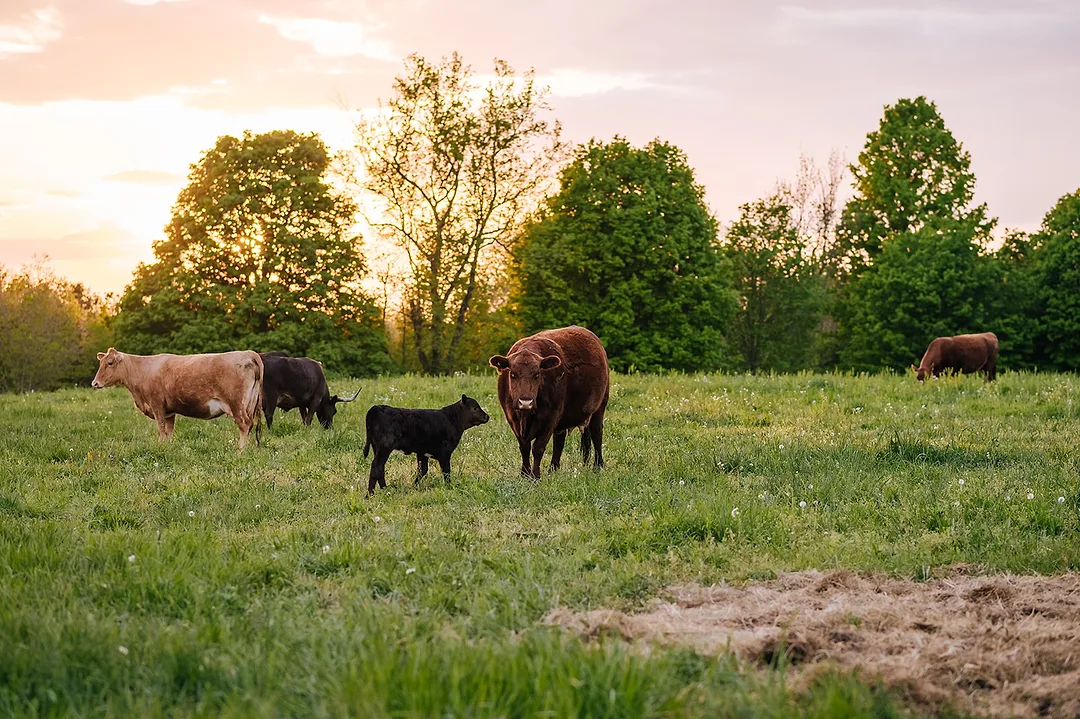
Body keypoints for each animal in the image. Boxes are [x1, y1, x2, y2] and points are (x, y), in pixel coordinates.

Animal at [91, 348, 264, 447]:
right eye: (101, 363)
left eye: (110, 363)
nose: (94, 383)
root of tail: (248, 353)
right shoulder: (169, 411)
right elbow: (169, 431)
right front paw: (168, 448)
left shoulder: (157, 405)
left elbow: (161, 430)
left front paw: (160, 447)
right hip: (249, 403)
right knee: (249, 425)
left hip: (236, 403)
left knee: (244, 424)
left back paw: (240, 450)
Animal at [489, 325, 610, 479]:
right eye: (513, 374)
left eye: (537, 375)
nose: (525, 402)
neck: (525, 417)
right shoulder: (512, 417)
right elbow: (524, 447)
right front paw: (525, 474)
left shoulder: (551, 416)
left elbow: (538, 447)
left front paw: (535, 476)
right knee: (560, 440)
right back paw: (553, 469)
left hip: (599, 406)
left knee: (596, 434)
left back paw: (598, 466)